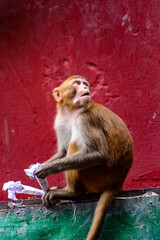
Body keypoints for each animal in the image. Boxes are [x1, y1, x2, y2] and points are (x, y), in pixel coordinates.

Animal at [35, 76, 133, 240]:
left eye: (85, 84)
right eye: (77, 83)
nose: (85, 88)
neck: (72, 112)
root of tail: (117, 183)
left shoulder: (85, 118)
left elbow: (98, 154)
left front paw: (46, 169)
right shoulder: (60, 121)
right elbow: (63, 151)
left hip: (98, 178)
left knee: (76, 144)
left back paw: (72, 192)